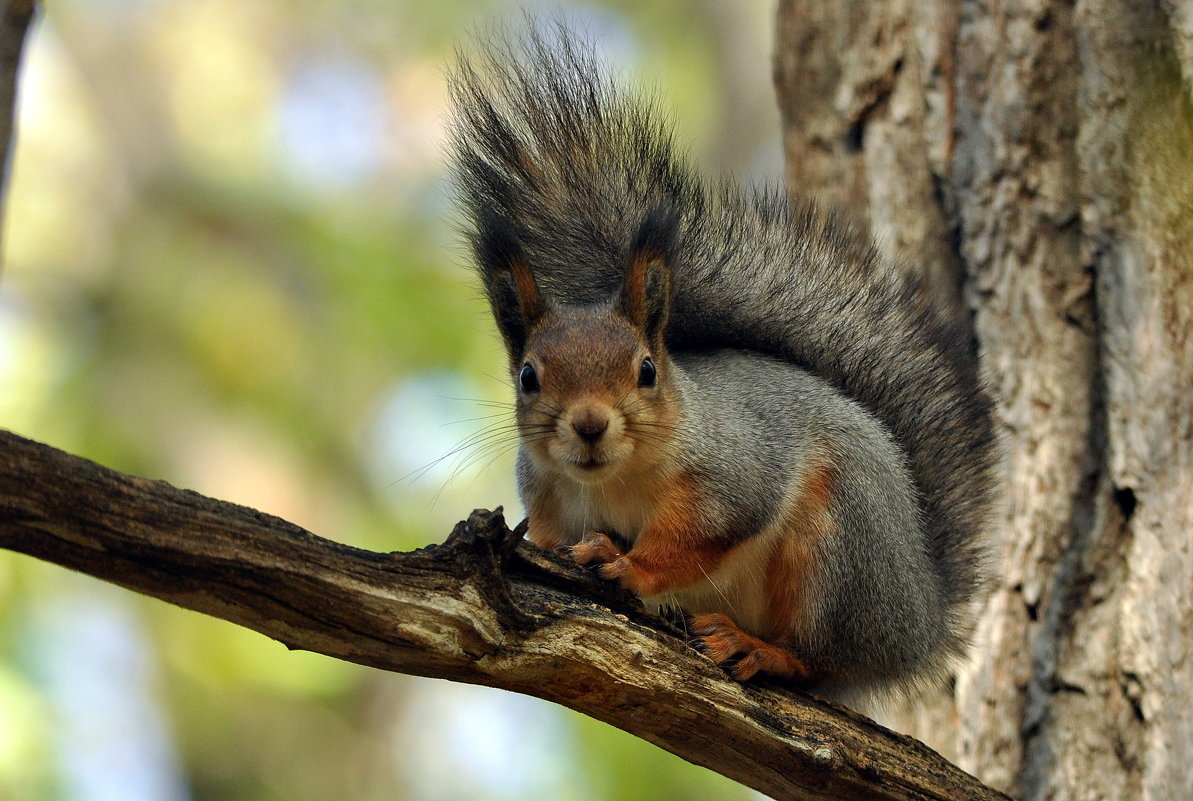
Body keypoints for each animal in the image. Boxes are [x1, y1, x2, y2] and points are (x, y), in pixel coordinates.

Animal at [448, 23, 997, 701]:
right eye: (528, 377)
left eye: (647, 370)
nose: (589, 423)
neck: (613, 482)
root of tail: (921, 622)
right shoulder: (546, 498)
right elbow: (552, 537)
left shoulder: (733, 471)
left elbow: (699, 536)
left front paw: (628, 564)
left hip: (839, 549)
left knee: (823, 659)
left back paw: (759, 648)